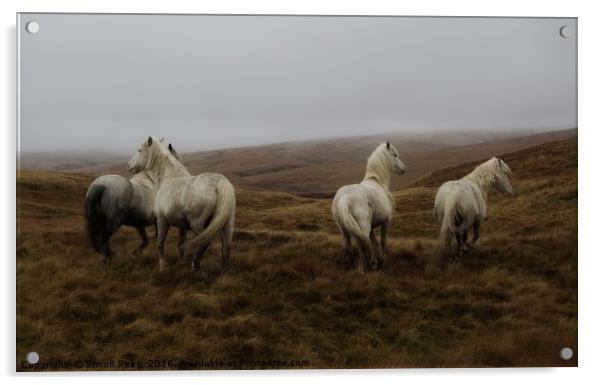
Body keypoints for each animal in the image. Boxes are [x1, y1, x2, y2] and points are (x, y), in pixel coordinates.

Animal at [126, 136, 234, 272]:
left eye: (139, 150)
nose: (129, 165)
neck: (169, 177)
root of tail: (220, 182)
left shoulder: (161, 220)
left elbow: (160, 243)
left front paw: (162, 266)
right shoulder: (182, 225)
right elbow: (180, 242)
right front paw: (181, 261)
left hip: (197, 224)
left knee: (204, 241)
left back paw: (195, 263)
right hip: (226, 224)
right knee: (226, 247)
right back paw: (223, 271)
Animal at [330, 142, 406, 272]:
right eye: (395, 155)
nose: (404, 169)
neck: (377, 181)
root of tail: (345, 197)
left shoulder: (372, 226)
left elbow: (374, 242)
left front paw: (374, 262)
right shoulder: (386, 221)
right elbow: (382, 241)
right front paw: (383, 259)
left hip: (344, 229)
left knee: (349, 247)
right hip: (363, 228)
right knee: (361, 248)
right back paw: (361, 270)